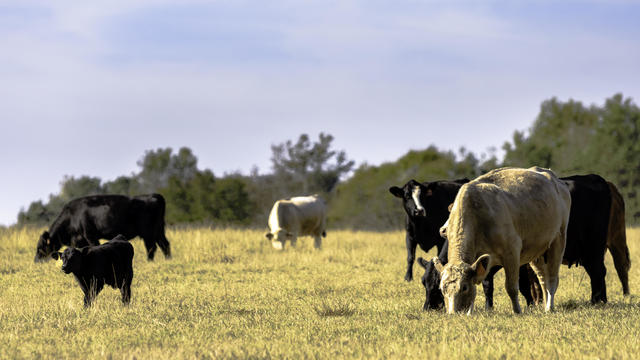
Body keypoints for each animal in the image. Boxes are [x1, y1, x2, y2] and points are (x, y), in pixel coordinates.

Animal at [34, 194, 170, 262]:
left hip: (148, 232)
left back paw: (149, 262)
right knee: (164, 244)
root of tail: (153, 196)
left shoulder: (90, 236)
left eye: (40, 247)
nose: (36, 260)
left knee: (151, 247)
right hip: (159, 230)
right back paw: (168, 260)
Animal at [436, 167, 568, 314]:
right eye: (441, 289)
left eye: (464, 287)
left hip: (559, 239)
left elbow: (511, 287)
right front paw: (470, 313)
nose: (453, 313)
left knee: (552, 278)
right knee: (543, 278)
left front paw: (517, 311)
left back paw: (549, 307)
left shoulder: (512, 252)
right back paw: (545, 306)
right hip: (536, 250)